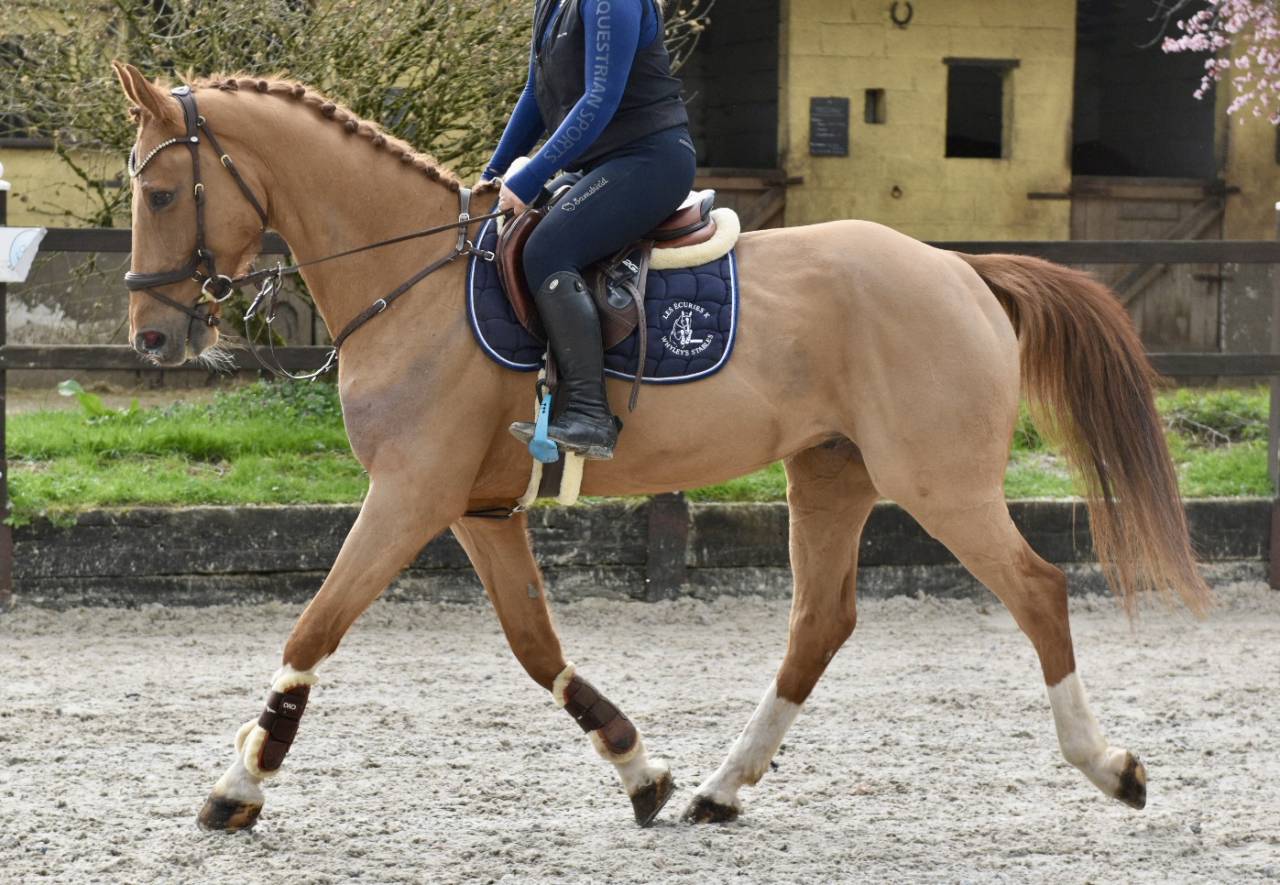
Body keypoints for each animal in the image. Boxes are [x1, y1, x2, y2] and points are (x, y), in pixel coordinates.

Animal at [111, 62, 1209, 832]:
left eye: (161, 196)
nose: (153, 339)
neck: (409, 281)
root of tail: (961, 270)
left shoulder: (410, 495)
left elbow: (312, 629)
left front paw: (239, 784)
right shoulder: (474, 509)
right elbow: (535, 646)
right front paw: (639, 767)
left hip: (937, 481)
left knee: (1035, 590)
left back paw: (1109, 767)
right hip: (830, 474)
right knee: (819, 623)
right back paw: (721, 789)